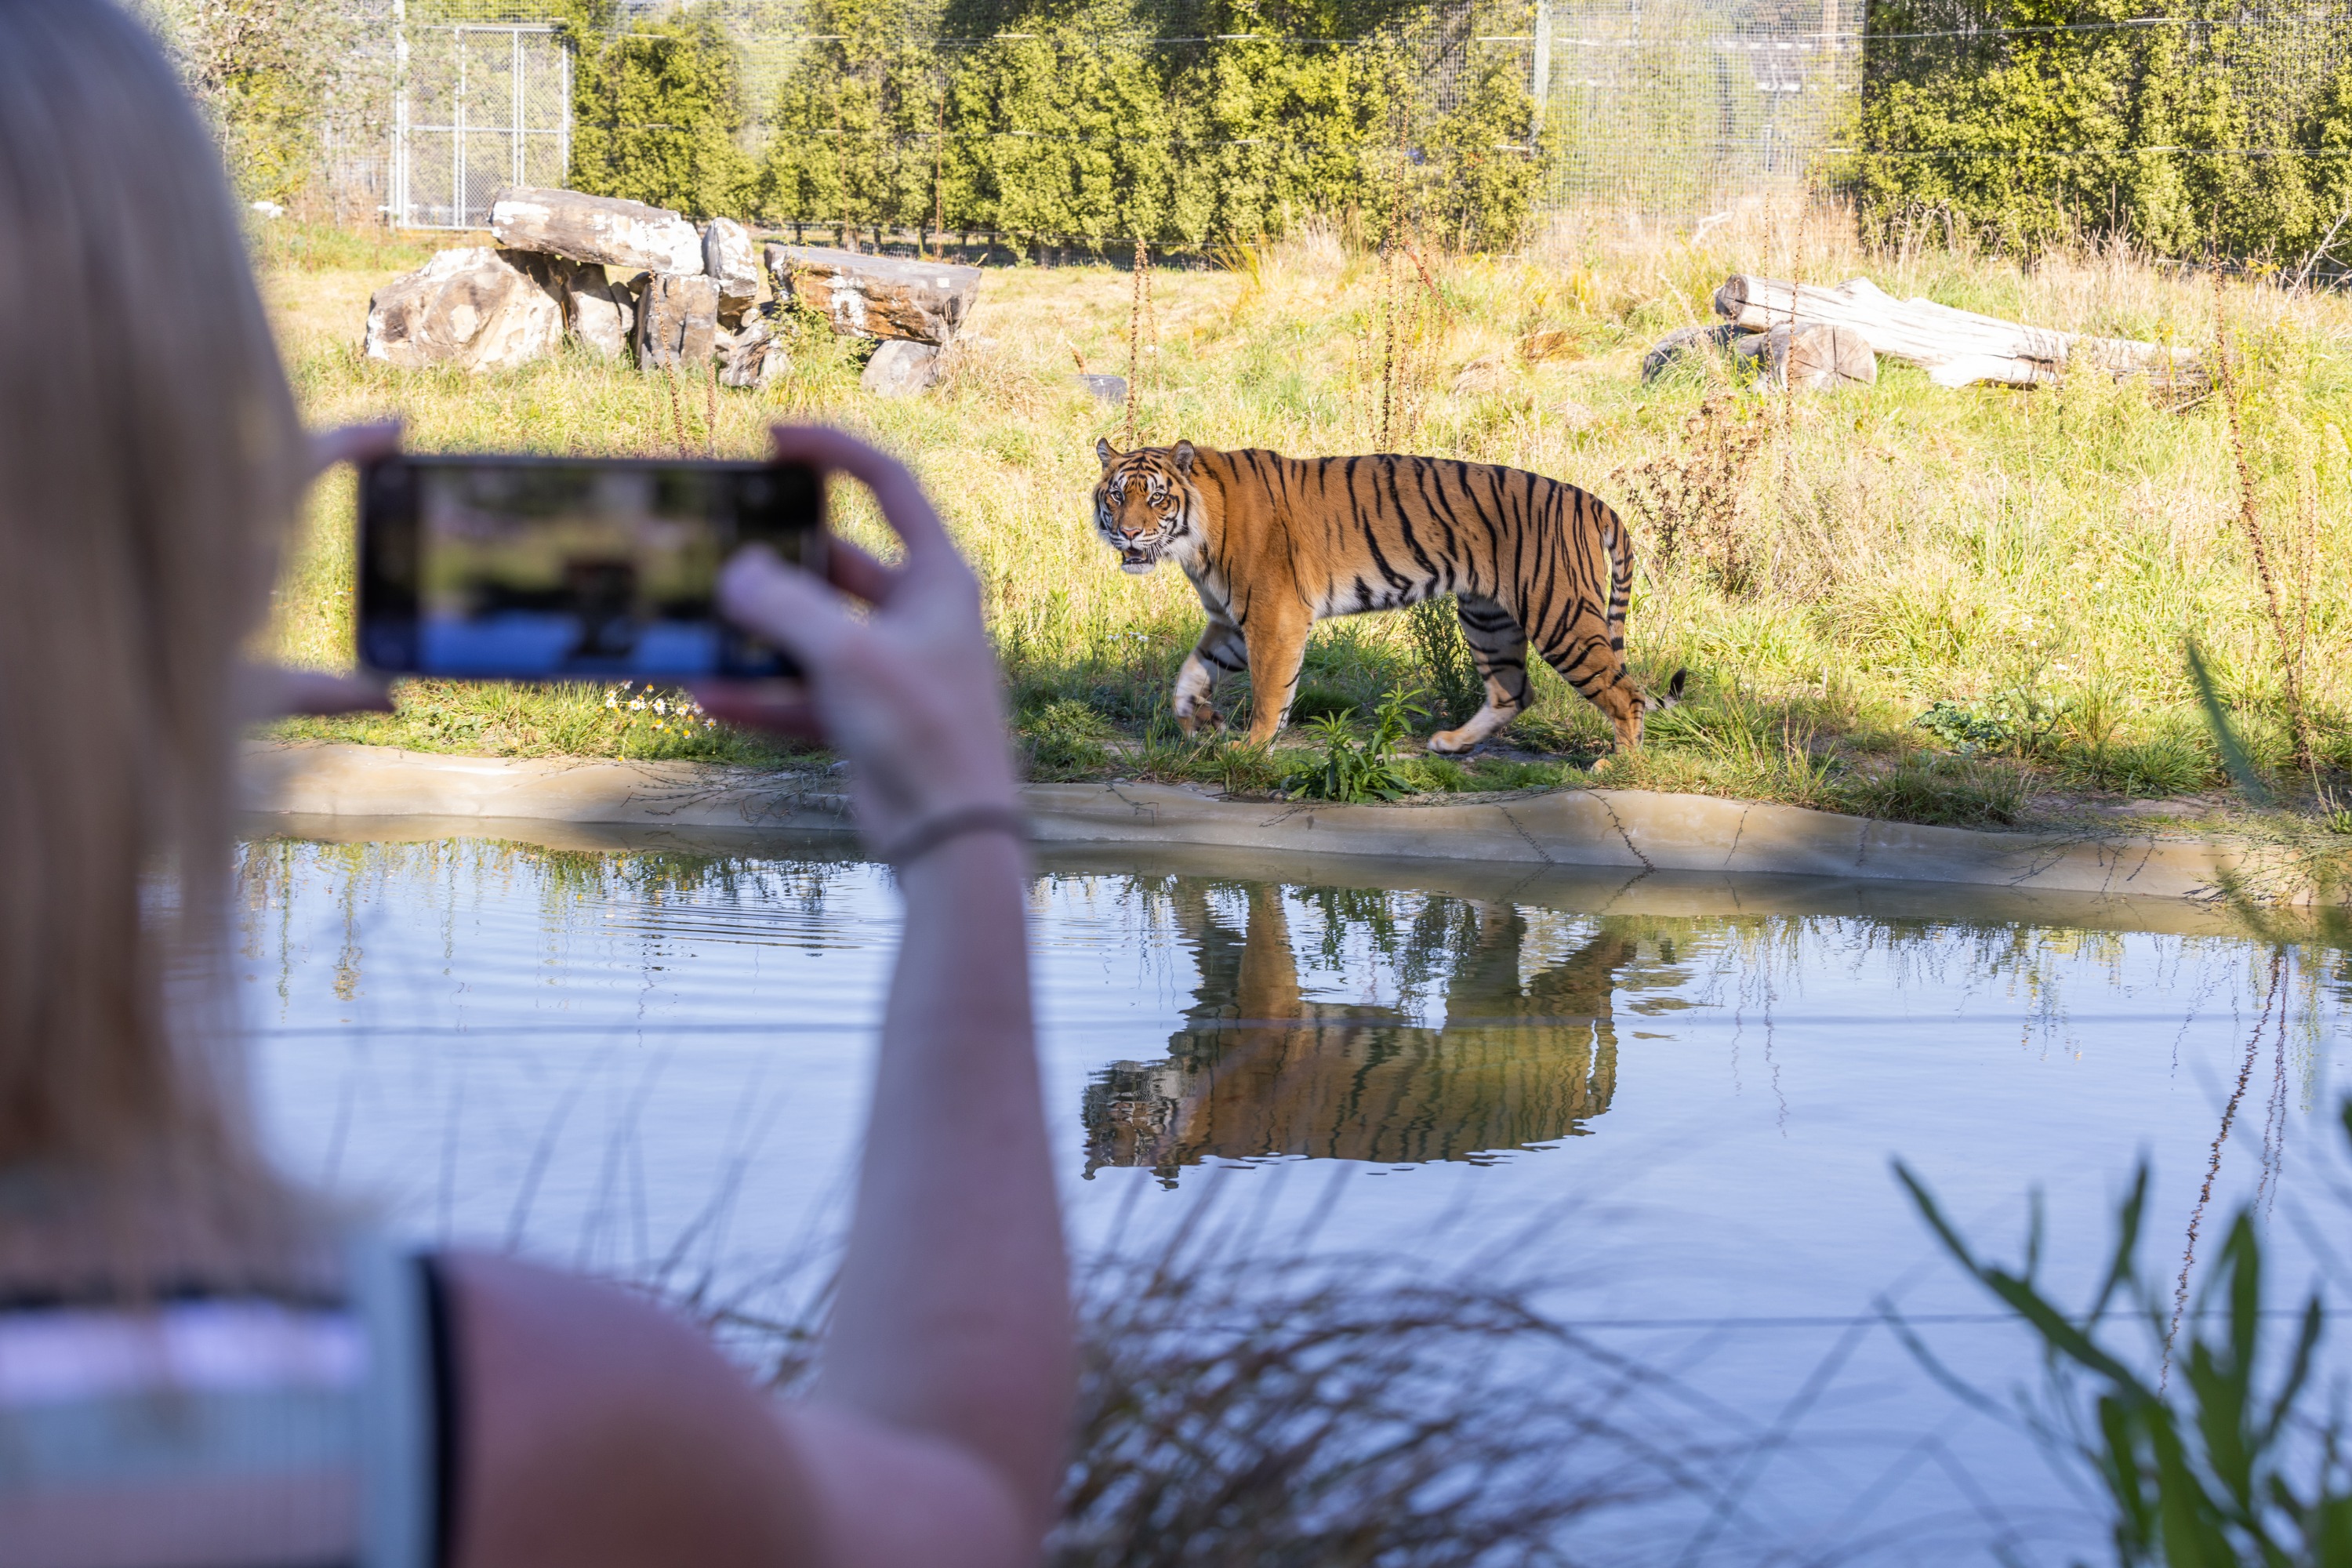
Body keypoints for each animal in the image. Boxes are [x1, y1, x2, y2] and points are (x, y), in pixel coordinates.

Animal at [1091, 439, 1684, 757]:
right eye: (1117, 497)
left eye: (1157, 499)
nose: (1128, 534)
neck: (1194, 540)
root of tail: (1590, 500)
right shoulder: (1231, 623)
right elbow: (1188, 676)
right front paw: (1199, 722)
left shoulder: (1273, 618)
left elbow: (1269, 693)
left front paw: (1252, 747)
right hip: (1488, 618)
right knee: (1513, 691)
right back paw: (1451, 743)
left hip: (1559, 616)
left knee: (1624, 691)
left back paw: (1618, 765)